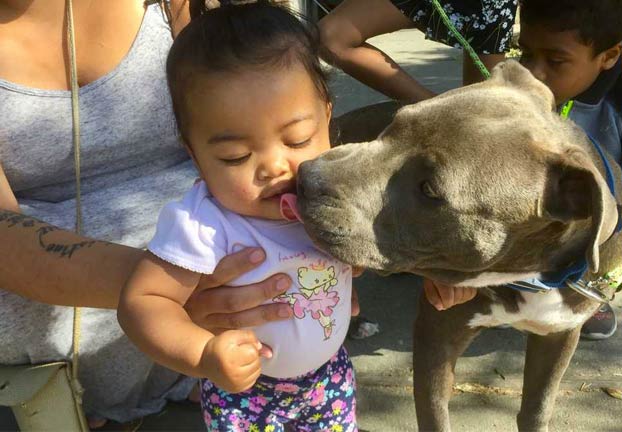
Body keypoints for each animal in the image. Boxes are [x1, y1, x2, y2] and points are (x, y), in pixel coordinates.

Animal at [300, 61, 620, 432]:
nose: (306, 176)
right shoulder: (437, 332)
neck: (526, 276)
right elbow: (434, 412)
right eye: (394, 125)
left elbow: (538, 407)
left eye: (430, 189)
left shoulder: (560, 333)